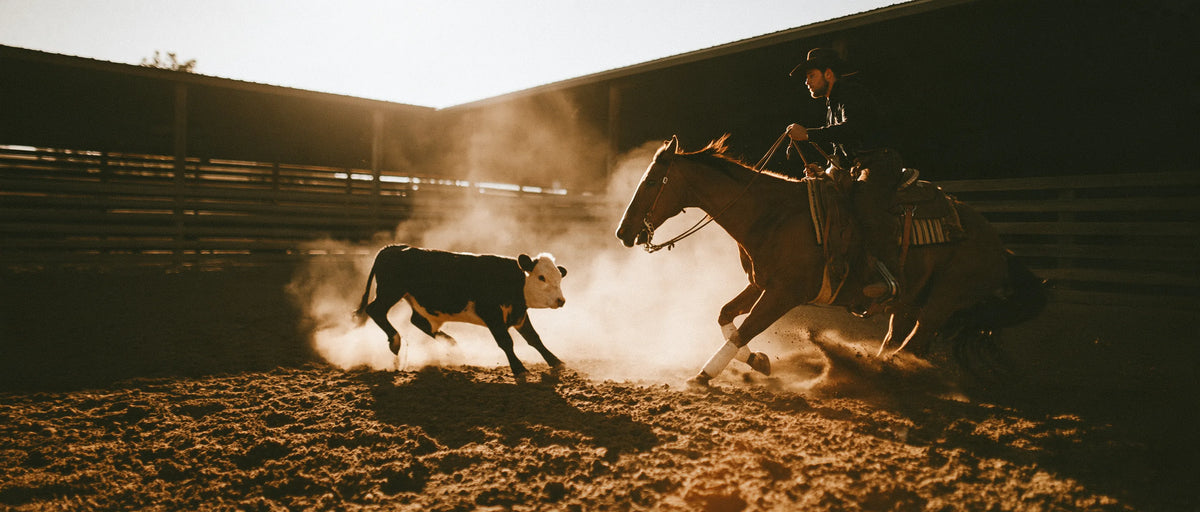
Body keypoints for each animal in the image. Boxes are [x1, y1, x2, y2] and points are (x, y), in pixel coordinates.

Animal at [615, 135, 1046, 385]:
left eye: (651, 182)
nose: (622, 232)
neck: (772, 213)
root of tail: (999, 247)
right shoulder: (761, 283)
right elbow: (725, 317)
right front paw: (759, 362)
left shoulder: (784, 293)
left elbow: (744, 329)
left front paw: (704, 376)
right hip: (908, 302)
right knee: (898, 341)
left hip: (941, 303)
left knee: (914, 345)